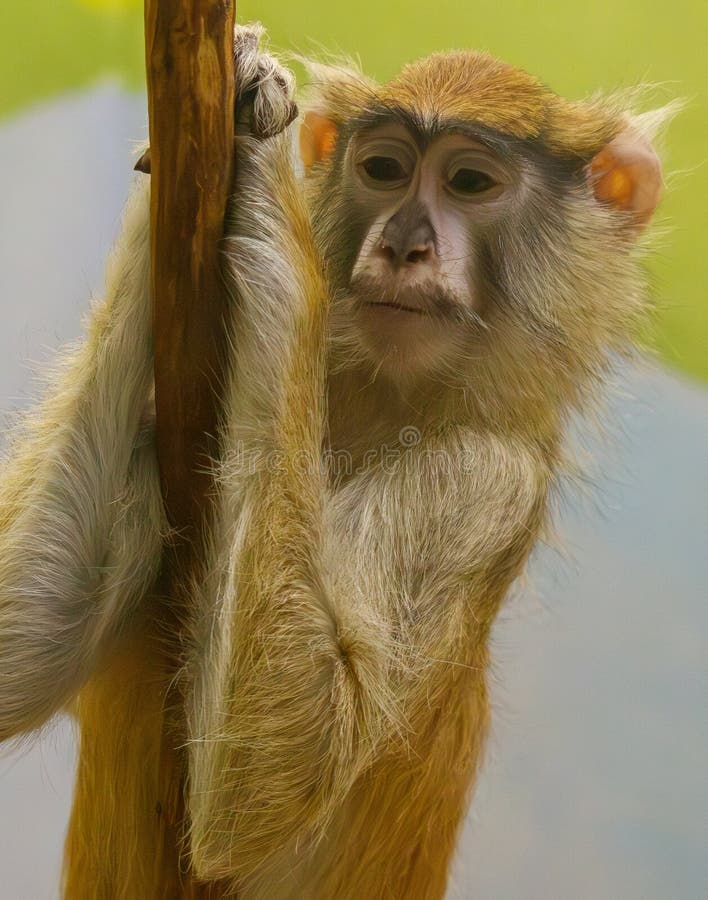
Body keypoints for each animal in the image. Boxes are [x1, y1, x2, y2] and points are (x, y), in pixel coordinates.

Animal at [0, 23, 666, 900]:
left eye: (469, 181)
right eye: (383, 169)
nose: (405, 244)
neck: (380, 405)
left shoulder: (488, 478)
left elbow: (275, 771)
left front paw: (265, 163)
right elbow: (26, 654)